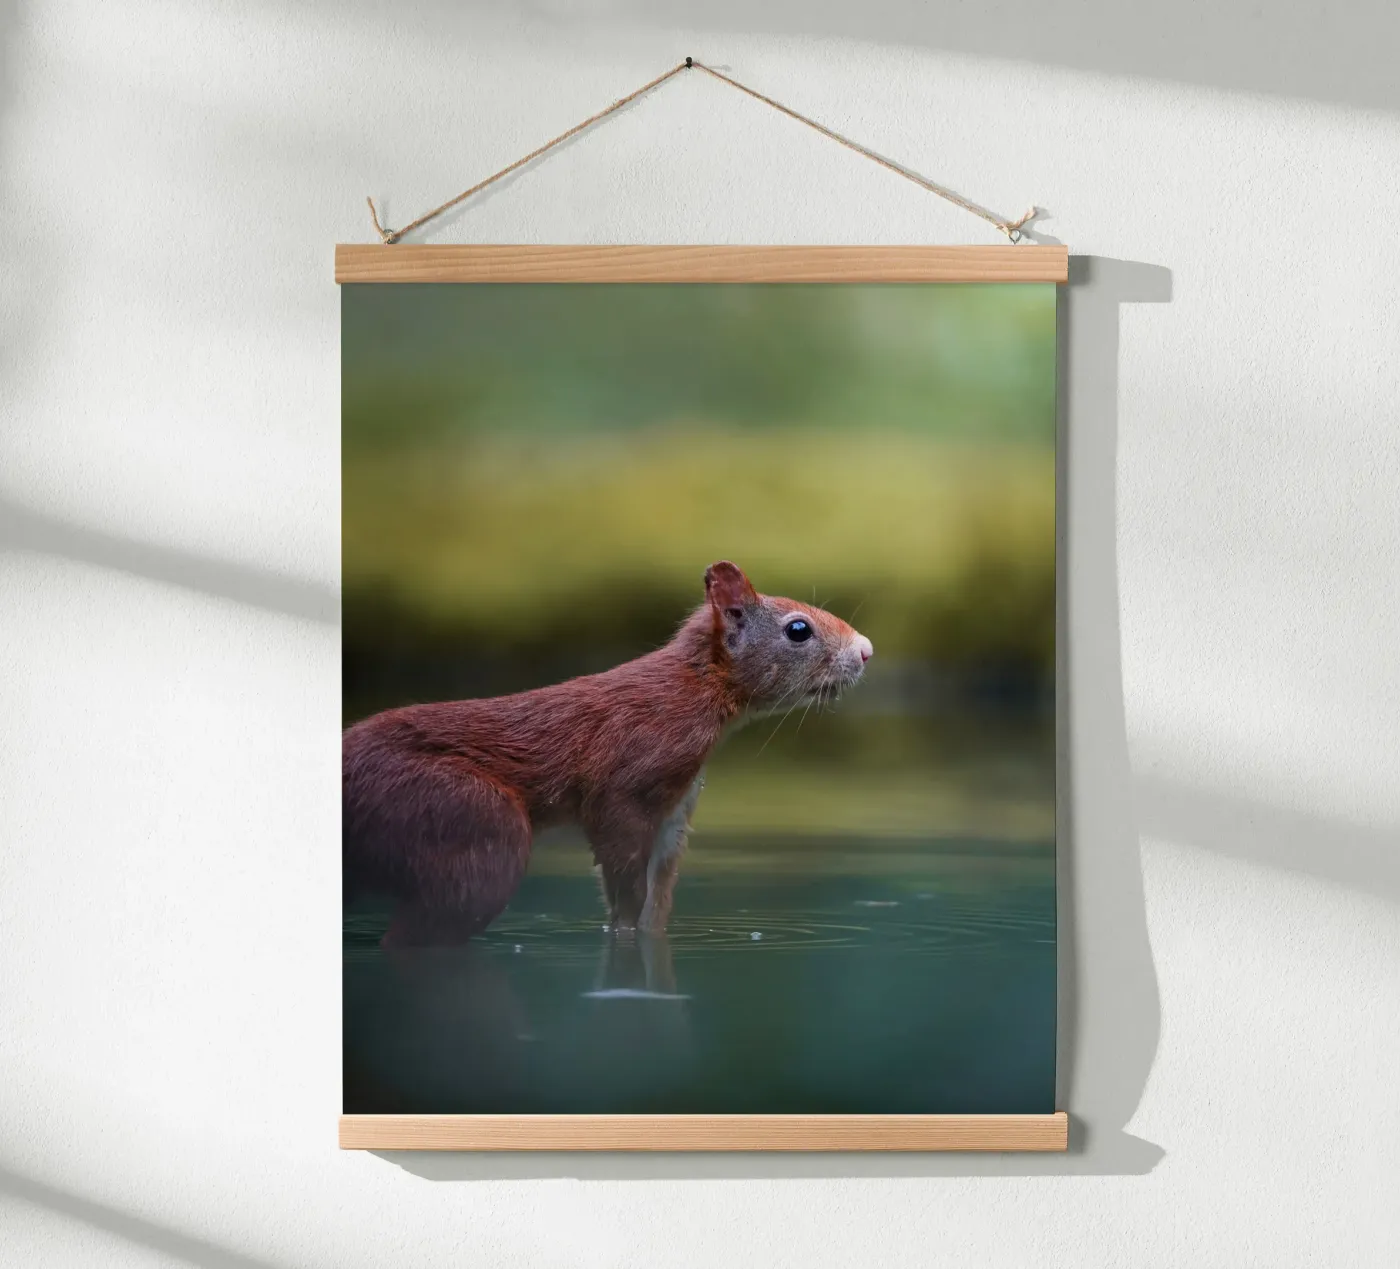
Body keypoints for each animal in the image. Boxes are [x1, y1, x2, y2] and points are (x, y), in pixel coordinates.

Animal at [342, 561, 872, 947]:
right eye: (798, 629)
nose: (866, 650)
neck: (694, 690)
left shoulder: (675, 810)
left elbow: (657, 899)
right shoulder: (627, 779)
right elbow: (623, 877)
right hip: (464, 818)